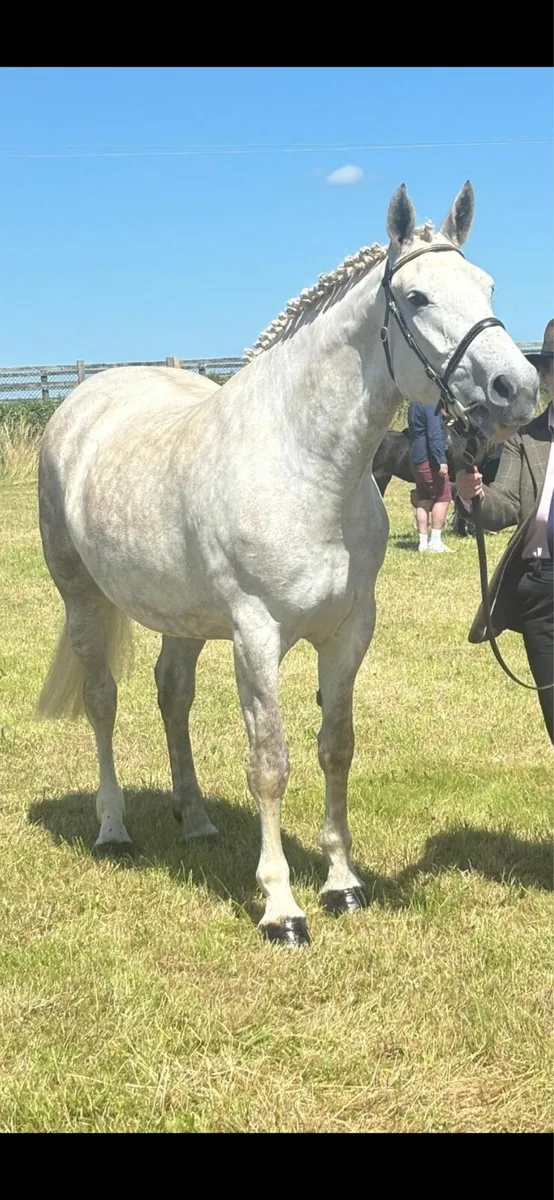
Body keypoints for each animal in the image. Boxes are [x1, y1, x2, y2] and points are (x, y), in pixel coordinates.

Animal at [37, 181, 538, 947]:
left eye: (486, 286)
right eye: (418, 297)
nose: (519, 387)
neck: (302, 463)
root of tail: (81, 402)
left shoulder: (350, 632)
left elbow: (336, 745)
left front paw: (343, 884)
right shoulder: (257, 637)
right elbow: (270, 764)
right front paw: (282, 908)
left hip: (182, 619)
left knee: (171, 695)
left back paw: (197, 821)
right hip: (82, 599)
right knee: (102, 701)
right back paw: (114, 829)